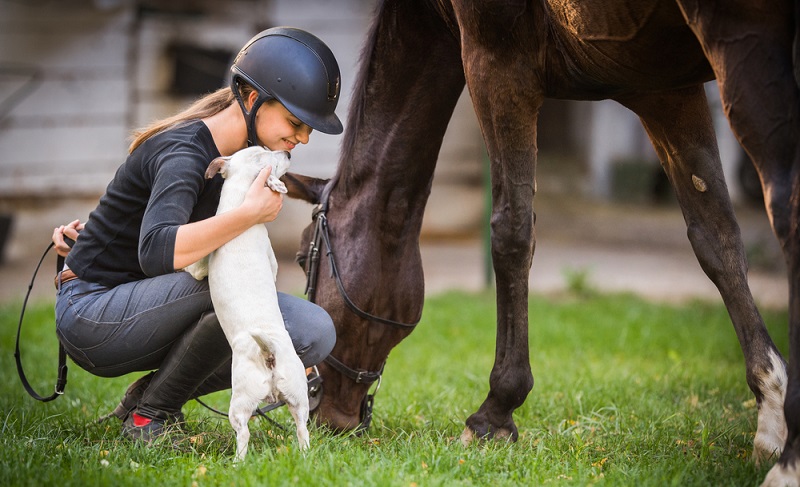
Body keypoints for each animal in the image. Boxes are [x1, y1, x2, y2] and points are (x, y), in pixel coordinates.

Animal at [186, 145, 310, 462]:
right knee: (302, 429)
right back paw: (304, 456)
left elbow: (191, 267)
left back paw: (237, 463)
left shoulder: (201, 266)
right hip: (298, 396)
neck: (238, 202)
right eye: (268, 154)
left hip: (240, 402)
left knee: (243, 434)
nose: (288, 153)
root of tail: (269, 353)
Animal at [284, 1, 796, 486]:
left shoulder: (497, 64)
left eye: (303, 257)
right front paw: (771, 409)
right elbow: (716, 239)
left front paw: (494, 414)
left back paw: (788, 466)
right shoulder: (666, 91)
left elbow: (511, 233)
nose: (325, 417)